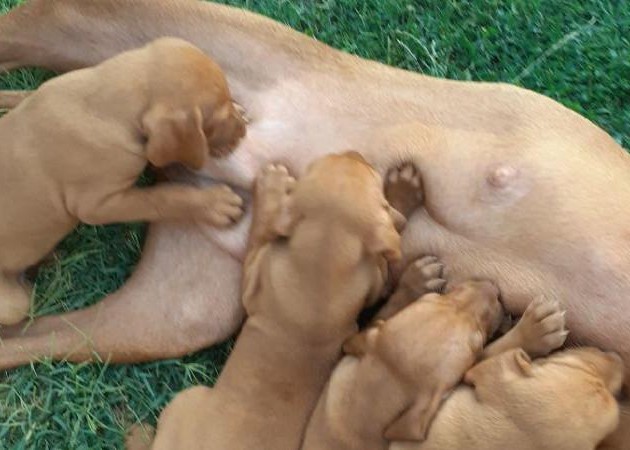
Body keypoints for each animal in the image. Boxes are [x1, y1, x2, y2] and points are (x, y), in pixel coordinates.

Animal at [0, 37, 246, 326]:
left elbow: (21, 96)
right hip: (13, 304)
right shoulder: (97, 204)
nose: (243, 130)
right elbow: (161, 197)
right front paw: (214, 204)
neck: (103, 104)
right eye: (217, 120)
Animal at [149, 152, 414, 449]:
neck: (321, 269)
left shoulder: (254, 275)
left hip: (186, 398)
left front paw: (271, 187)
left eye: (370, 172)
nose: (352, 154)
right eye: (317, 165)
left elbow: (261, 227)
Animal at [301, 258, 567, 450]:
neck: (364, 406)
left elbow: (384, 313)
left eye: (437, 296)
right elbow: (490, 355)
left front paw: (416, 280)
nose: (492, 288)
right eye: (477, 342)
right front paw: (535, 331)